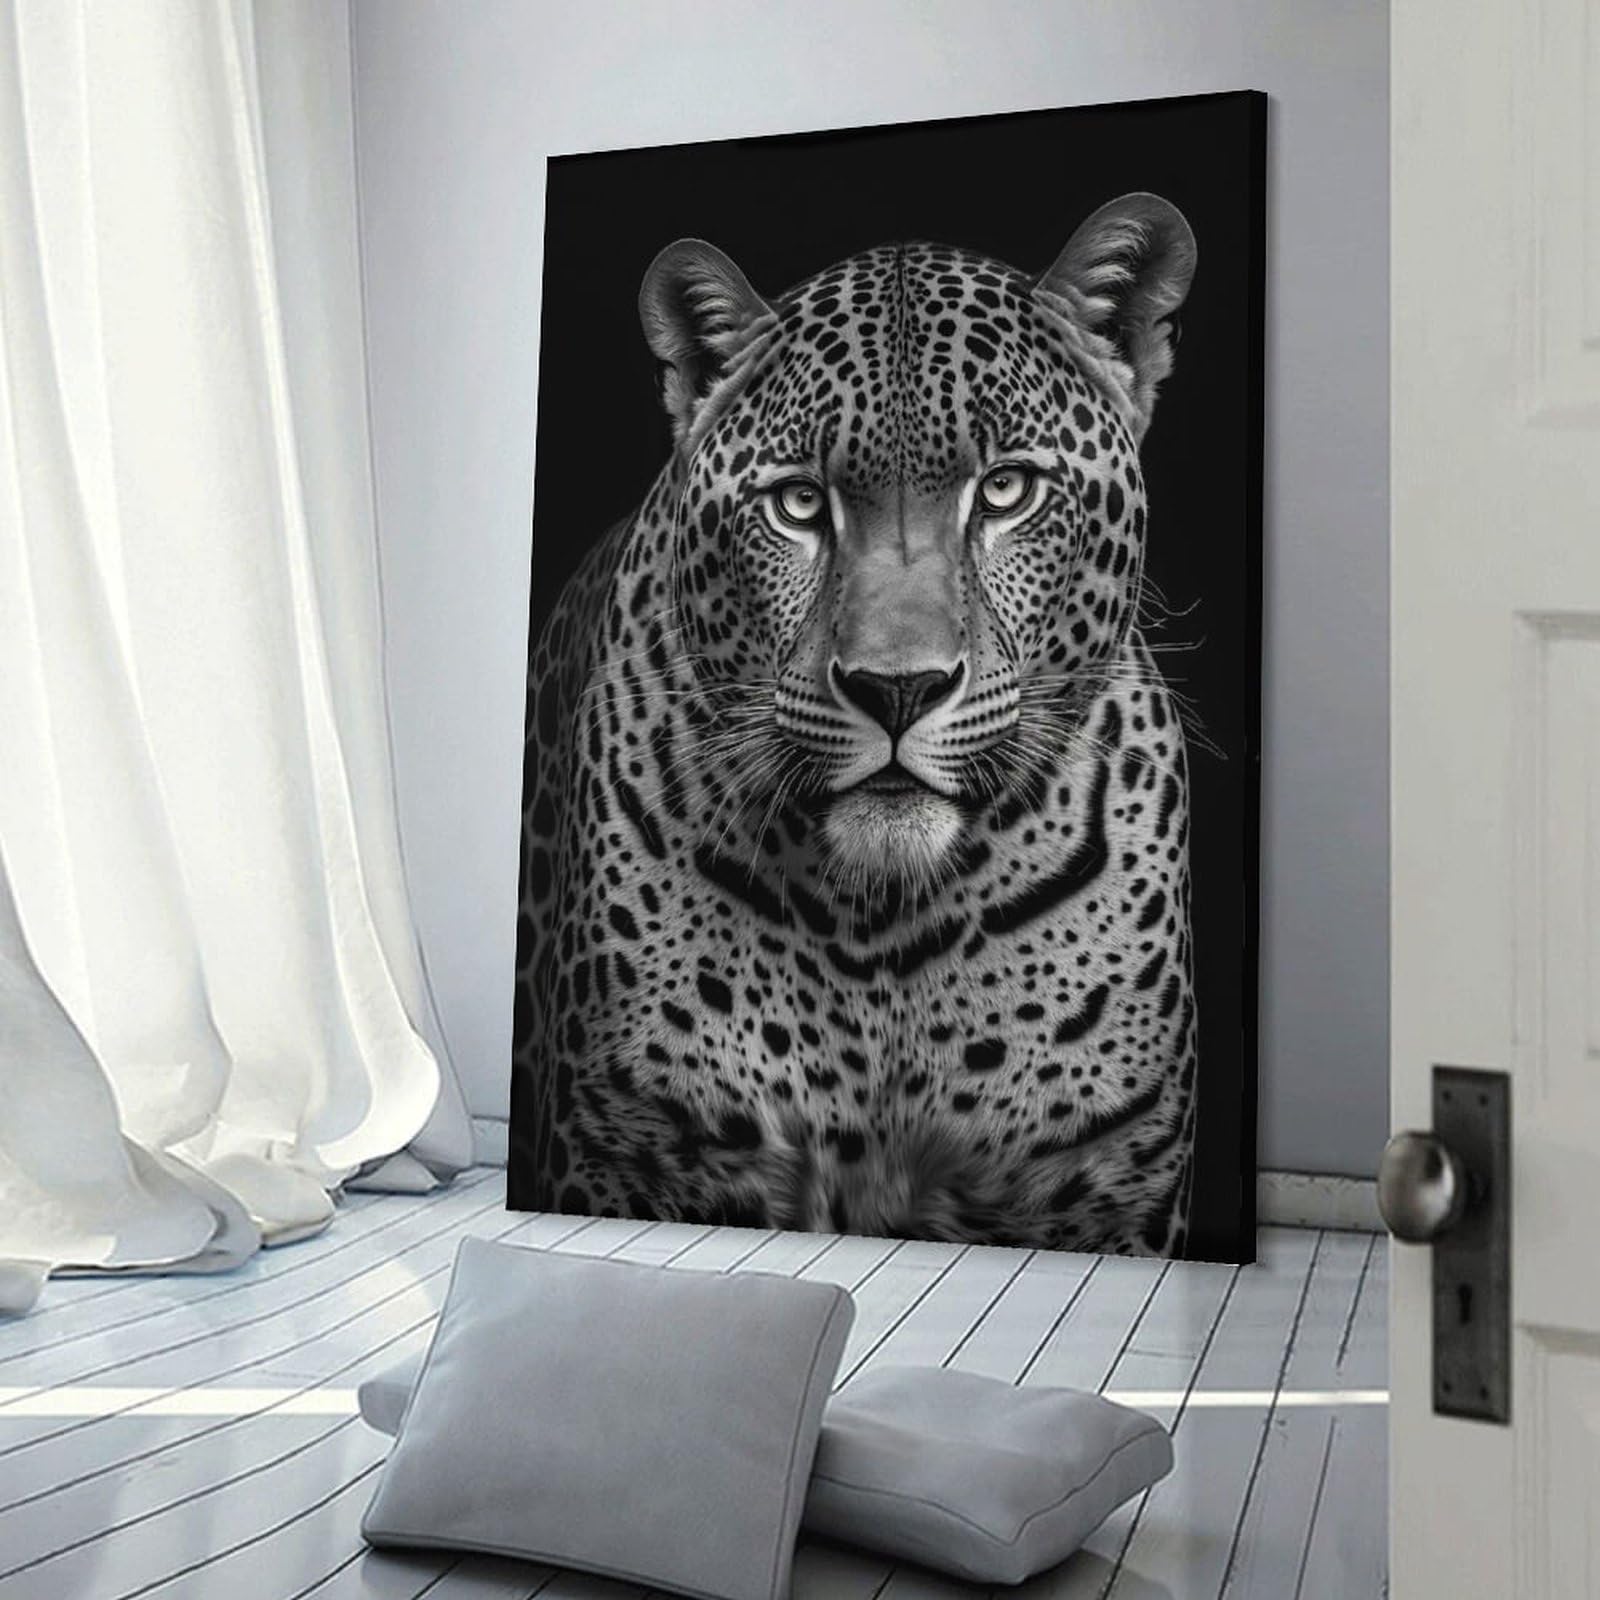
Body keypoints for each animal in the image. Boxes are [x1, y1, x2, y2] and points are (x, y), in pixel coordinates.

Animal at [509, 193, 1202, 1256]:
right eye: (799, 504)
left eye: (1006, 490)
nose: (897, 689)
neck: (880, 931)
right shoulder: (637, 1155)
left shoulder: (1102, 1191)